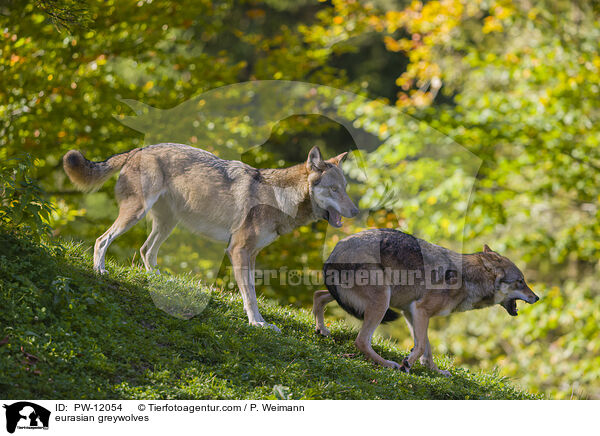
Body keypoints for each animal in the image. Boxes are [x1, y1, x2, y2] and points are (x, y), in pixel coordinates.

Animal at [63, 143, 358, 330]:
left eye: (345, 188)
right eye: (334, 189)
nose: (355, 211)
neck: (279, 199)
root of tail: (139, 149)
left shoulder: (251, 254)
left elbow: (250, 290)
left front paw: (258, 321)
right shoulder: (238, 250)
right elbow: (250, 294)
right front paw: (257, 323)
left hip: (167, 224)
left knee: (146, 250)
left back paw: (158, 281)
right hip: (136, 214)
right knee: (102, 240)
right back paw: (99, 270)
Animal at [314, 228, 540, 374]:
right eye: (521, 282)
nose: (536, 297)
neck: (468, 279)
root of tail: (335, 250)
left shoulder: (411, 312)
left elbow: (427, 348)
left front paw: (434, 371)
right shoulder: (420, 310)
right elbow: (422, 346)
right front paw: (406, 364)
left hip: (360, 297)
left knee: (318, 295)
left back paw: (322, 330)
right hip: (382, 302)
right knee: (361, 341)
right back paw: (388, 364)